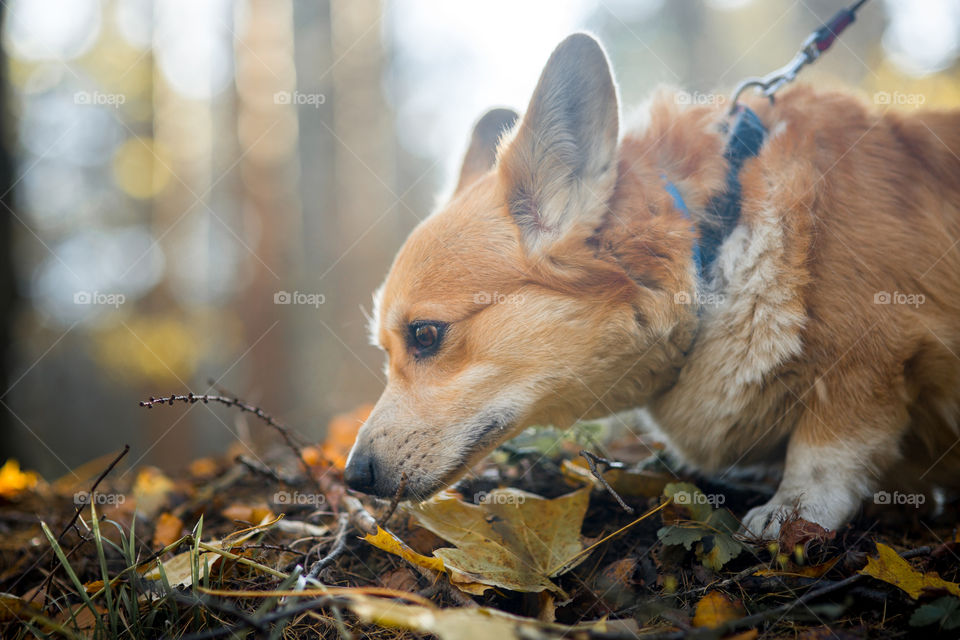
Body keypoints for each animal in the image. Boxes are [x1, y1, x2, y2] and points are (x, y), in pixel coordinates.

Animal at [344, 32, 960, 536]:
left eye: (426, 335)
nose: (354, 478)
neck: (712, 246)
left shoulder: (873, 356)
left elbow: (829, 448)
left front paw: (793, 511)